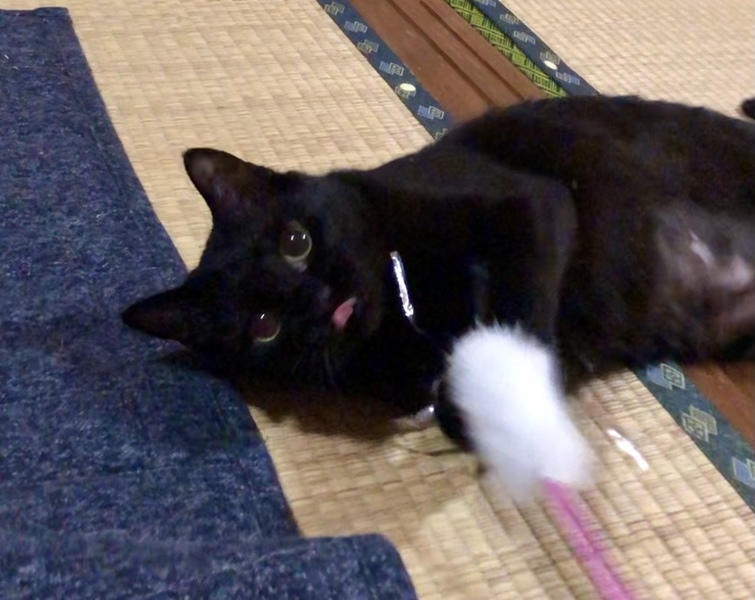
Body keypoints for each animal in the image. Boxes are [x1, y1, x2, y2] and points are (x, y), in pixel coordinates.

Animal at [123, 95, 755, 447]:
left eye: (295, 242)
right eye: (263, 326)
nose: (323, 301)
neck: (406, 304)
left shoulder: (533, 204)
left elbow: (518, 322)